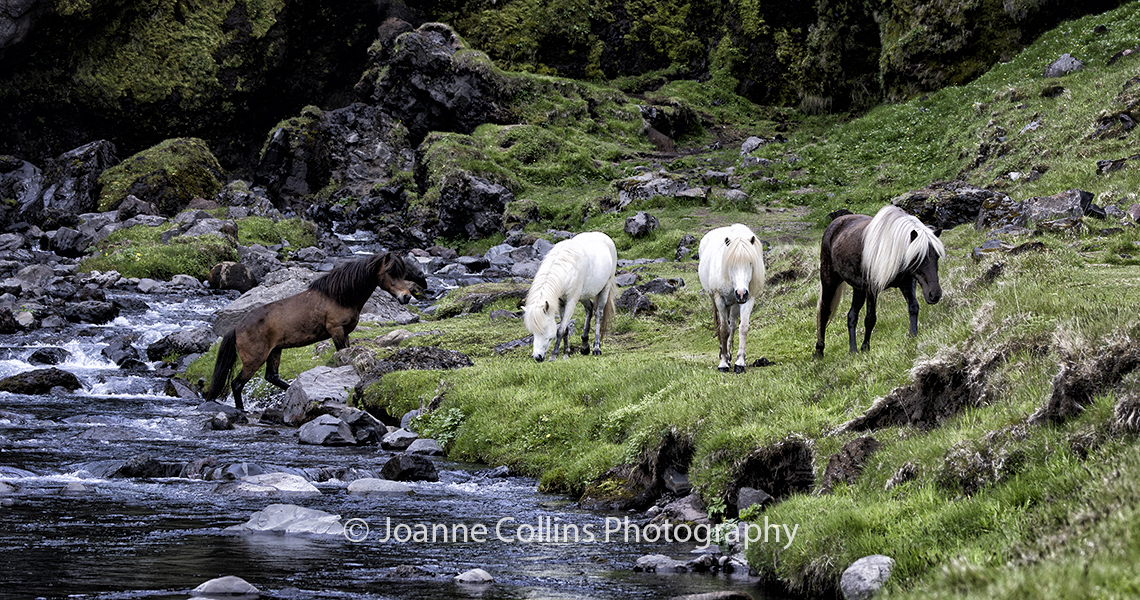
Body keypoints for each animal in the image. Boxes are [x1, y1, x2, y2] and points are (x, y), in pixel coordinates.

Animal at [202, 252, 426, 410]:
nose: (406, 296)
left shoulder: (345, 333)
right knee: (237, 384)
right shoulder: (337, 331)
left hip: (275, 351)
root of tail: (237, 327)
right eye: (390, 272)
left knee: (271, 377)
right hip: (254, 360)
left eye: (402, 273)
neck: (338, 296)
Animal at [522, 230, 620, 362]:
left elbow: (560, 330)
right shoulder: (561, 303)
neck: (567, 269)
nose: (538, 357)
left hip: (605, 288)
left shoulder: (571, 302)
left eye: (543, 330)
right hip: (584, 295)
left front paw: (554, 355)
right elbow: (566, 329)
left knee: (598, 315)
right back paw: (584, 346)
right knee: (589, 308)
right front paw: (566, 353)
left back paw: (596, 348)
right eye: (533, 331)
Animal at [693, 223, 766, 374]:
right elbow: (723, 330)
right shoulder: (719, 299)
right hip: (717, 300)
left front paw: (740, 362)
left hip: (734, 304)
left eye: (750, 263)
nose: (741, 293)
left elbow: (742, 328)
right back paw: (724, 355)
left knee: (732, 325)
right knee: (723, 326)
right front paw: (723, 363)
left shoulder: (748, 299)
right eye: (731, 264)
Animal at [816, 207, 948, 358]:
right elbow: (870, 319)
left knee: (851, 316)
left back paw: (852, 351)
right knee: (824, 311)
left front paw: (913, 335)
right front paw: (865, 348)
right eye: (916, 257)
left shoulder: (907, 283)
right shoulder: (872, 289)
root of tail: (835, 223)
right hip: (829, 281)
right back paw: (819, 350)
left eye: (937, 256)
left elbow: (913, 307)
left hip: (858, 289)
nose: (934, 294)